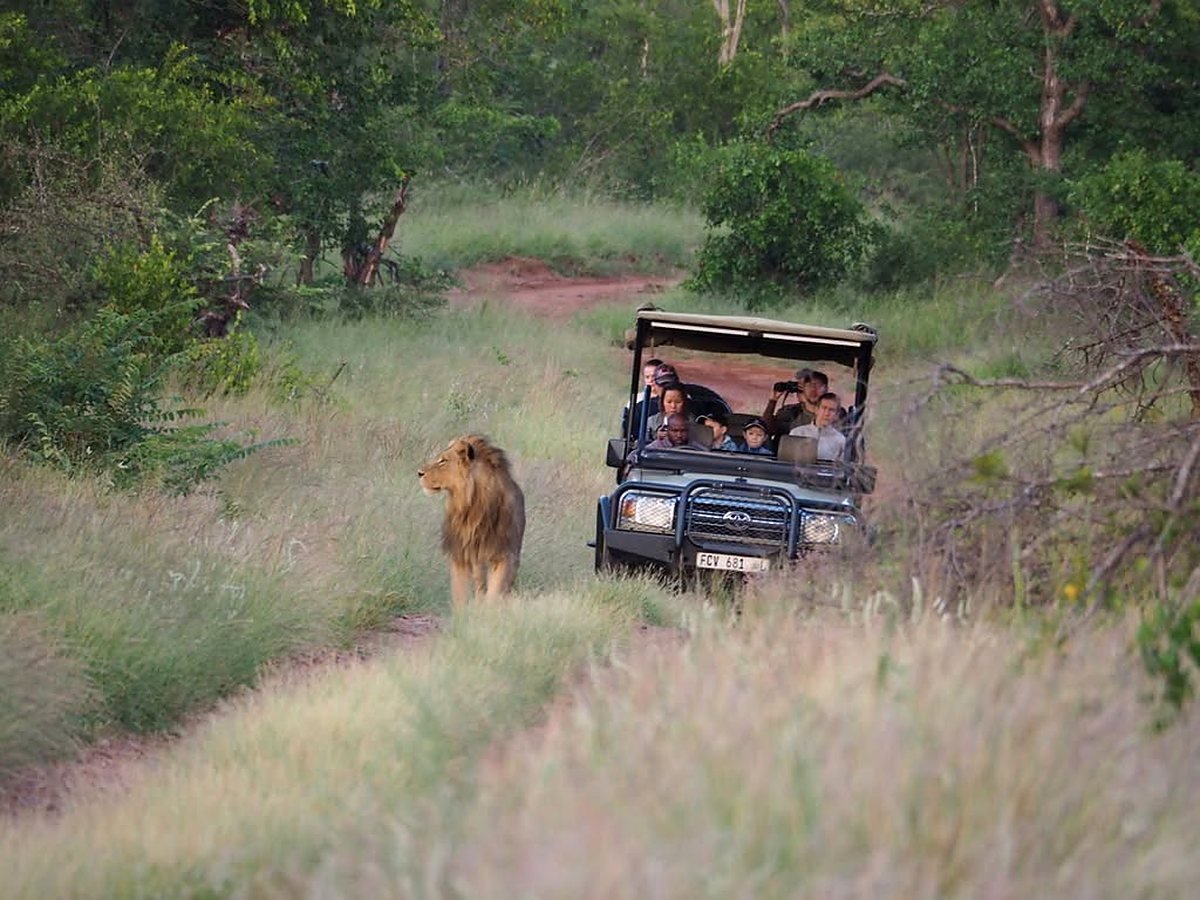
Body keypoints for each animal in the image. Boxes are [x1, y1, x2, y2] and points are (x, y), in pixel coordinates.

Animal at [418, 434, 526, 610]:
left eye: (443, 461)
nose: (419, 473)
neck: (473, 505)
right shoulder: (460, 554)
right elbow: (460, 594)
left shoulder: (503, 555)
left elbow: (495, 592)